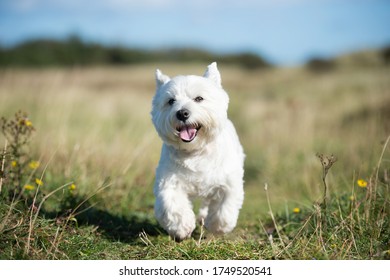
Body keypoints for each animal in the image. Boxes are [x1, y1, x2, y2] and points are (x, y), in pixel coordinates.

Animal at [152, 63, 245, 241]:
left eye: (199, 98)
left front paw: (217, 227)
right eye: (171, 101)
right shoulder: (169, 180)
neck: (196, 151)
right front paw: (182, 228)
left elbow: (224, 208)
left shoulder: (228, 182)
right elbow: (172, 204)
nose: (182, 113)